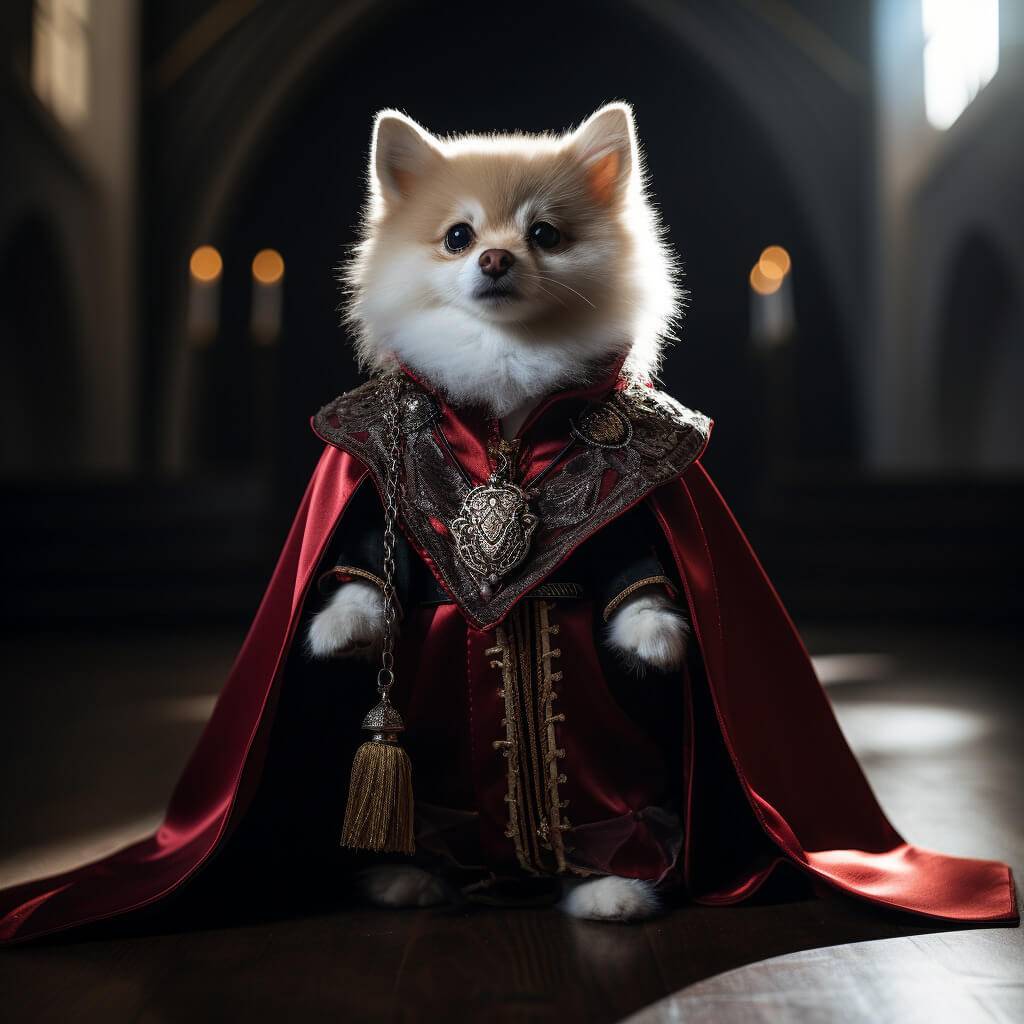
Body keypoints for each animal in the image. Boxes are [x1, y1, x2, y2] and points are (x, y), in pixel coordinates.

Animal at [303, 101, 688, 921]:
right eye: (459, 236)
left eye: (544, 234)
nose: (495, 260)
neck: (506, 376)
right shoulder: (377, 502)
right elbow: (367, 566)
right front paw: (341, 627)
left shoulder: (628, 520)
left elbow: (635, 573)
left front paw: (655, 636)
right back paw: (416, 875)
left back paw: (610, 885)